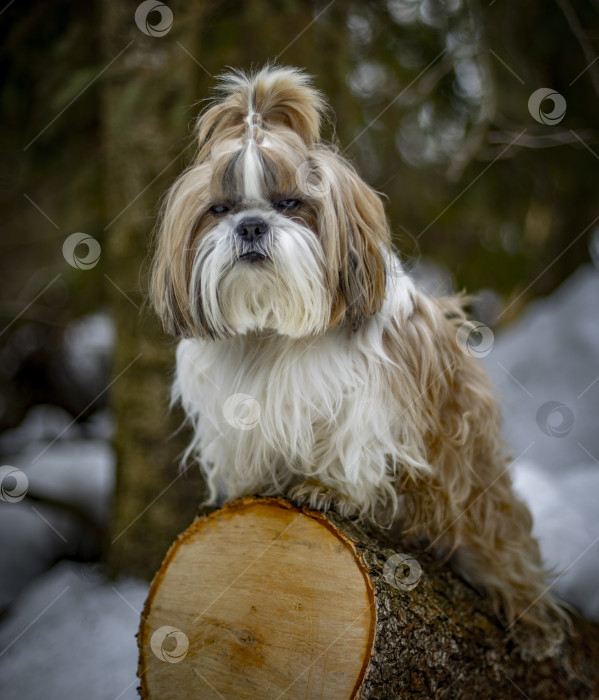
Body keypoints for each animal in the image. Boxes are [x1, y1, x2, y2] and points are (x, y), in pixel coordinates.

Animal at [150, 65, 568, 640]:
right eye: (220, 209)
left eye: (291, 203)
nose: (251, 225)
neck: (272, 330)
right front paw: (256, 483)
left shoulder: (375, 391)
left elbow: (353, 441)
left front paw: (328, 487)